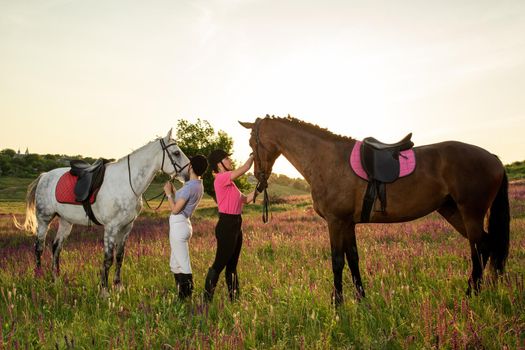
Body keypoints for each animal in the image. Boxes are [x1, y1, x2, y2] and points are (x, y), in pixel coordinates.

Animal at [239, 116, 510, 304]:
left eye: (253, 142)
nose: (258, 179)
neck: (326, 160)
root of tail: (493, 157)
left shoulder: (336, 222)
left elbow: (337, 261)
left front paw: (338, 304)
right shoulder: (347, 223)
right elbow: (352, 259)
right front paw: (361, 299)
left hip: (471, 212)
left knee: (479, 248)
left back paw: (470, 294)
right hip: (453, 211)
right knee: (486, 246)